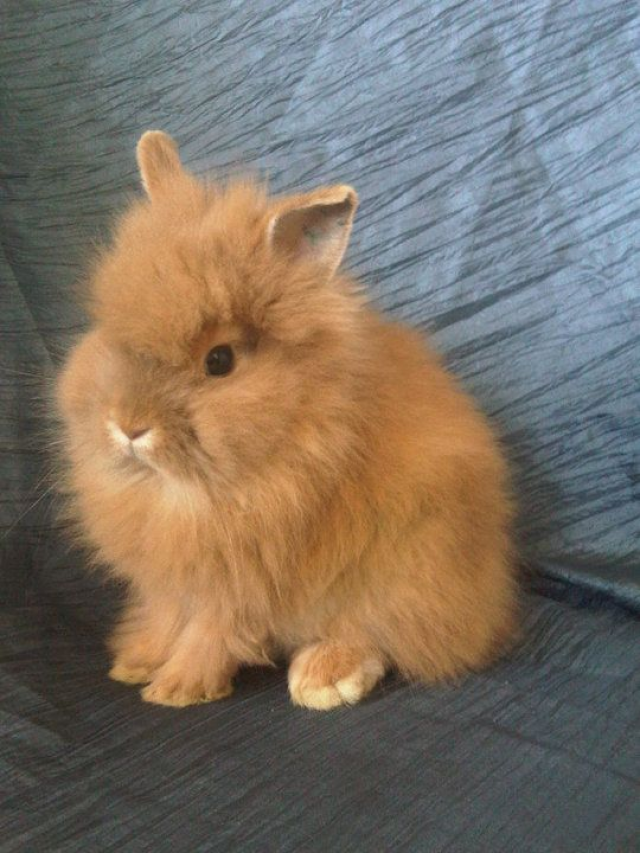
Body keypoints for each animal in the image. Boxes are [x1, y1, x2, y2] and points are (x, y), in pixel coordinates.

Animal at [55, 130, 517, 710]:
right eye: (108, 331)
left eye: (219, 360)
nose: (128, 425)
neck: (178, 490)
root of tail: (492, 598)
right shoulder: (172, 577)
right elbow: (165, 615)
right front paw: (136, 662)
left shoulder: (239, 578)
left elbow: (210, 630)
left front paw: (177, 689)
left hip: (407, 569)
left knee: (384, 635)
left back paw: (325, 677)